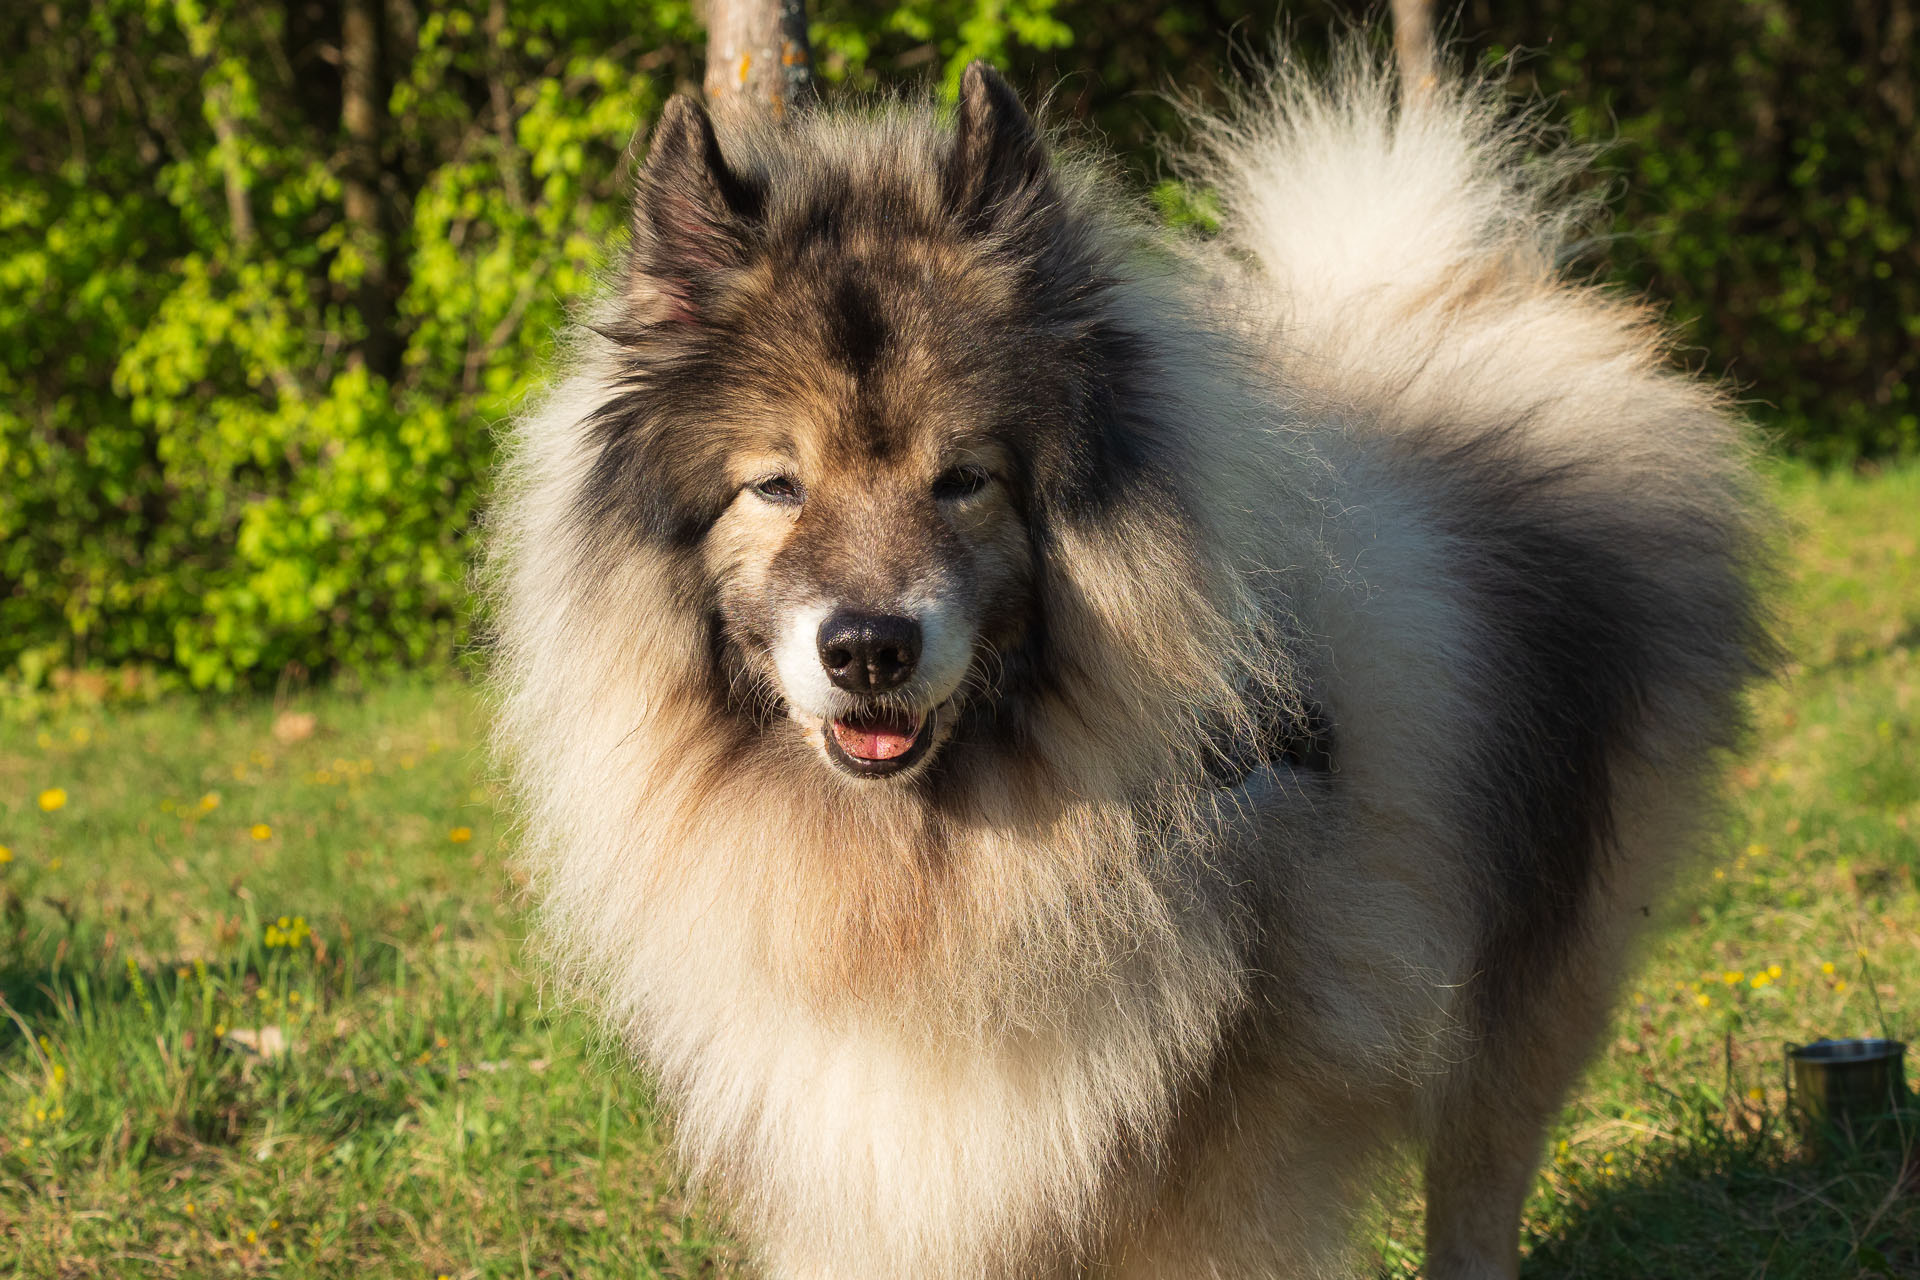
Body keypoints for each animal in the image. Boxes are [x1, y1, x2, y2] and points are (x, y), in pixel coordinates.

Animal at [491, 40, 1766, 1280]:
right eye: (774, 485)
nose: (866, 646)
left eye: (963, 479)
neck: (934, 862)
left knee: (1483, 1176)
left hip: (1535, 970)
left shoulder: (1211, 1163)